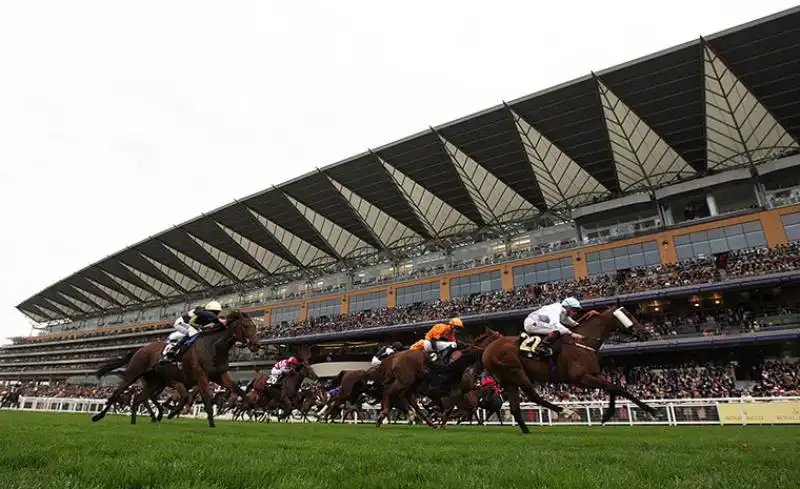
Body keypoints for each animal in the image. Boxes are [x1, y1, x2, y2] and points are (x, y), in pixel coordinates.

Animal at [90, 308, 260, 428]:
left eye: (255, 326)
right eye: (246, 326)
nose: (256, 345)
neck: (213, 346)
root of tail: (140, 349)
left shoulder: (220, 375)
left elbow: (238, 390)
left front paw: (251, 407)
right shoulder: (200, 376)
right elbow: (206, 399)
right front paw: (212, 424)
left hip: (154, 382)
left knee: (139, 399)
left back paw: (136, 421)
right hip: (133, 373)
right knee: (117, 393)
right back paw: (98, 416)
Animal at [482, 304, 656, 432]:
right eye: (629, 315)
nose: (646, 334)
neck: (583, 344)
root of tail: (486, 351)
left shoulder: (594, 374)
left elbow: (614, 388)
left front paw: (608, 414)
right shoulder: (581, 378)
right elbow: (615, 388)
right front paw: (649, 409)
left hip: (509, 381)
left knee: (515, 408)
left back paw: (527, 431)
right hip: (516, 372)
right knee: (533, 397)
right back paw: (565, 411)